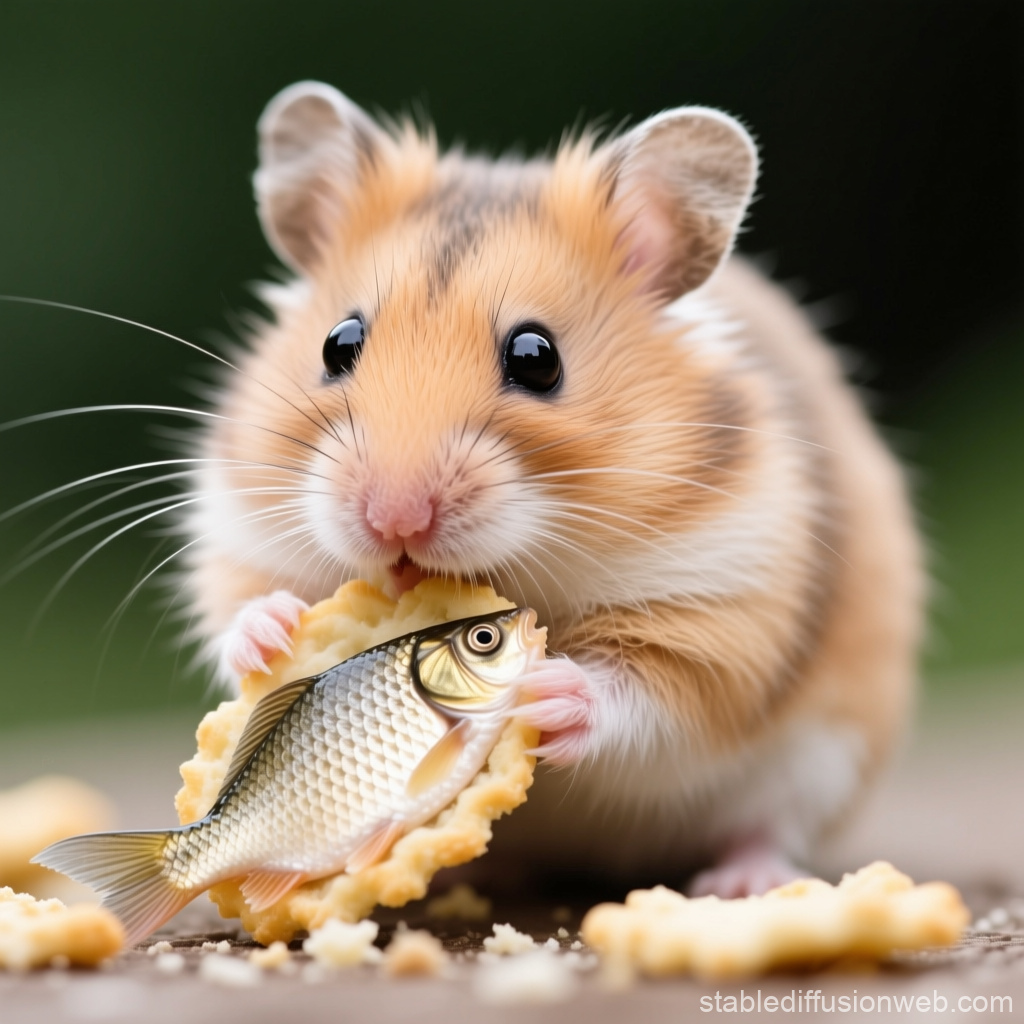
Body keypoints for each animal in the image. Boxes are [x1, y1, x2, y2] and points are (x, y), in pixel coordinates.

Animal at [183, 82, 923, 896]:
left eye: (537, 357)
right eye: (336, 344)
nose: (394, 520)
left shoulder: (728, 604)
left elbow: (654, 696)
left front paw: (549, 692)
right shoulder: (243, 532)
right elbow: (238, 606)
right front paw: (274, 633)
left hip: (828, 754)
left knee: (767, 823)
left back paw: (743, 884)